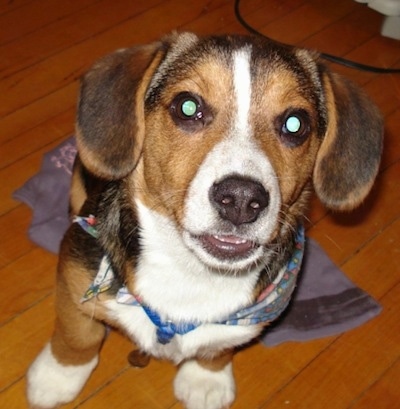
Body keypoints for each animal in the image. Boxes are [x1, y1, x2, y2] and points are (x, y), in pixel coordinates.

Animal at [26, 32, 382, 408]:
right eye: (187, 107)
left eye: (296, 124)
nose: (241, 199)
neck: (193, 272)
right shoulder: (76, 271)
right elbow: (78, 335)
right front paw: (57, 376)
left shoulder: (241, 321)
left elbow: (218, 347)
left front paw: (205, 379)